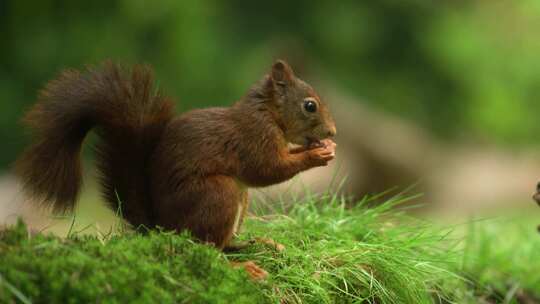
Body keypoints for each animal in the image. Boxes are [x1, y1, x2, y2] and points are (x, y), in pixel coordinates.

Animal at [14, 59, 336, 278]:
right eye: (310, 105)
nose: (332, 132)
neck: (268, 112)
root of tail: (161, 226)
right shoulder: (253, 137)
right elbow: (267, 170)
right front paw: (315, 156)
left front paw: (321, 148)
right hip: (218, 194)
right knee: (207, 250)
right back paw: (244, 267)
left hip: (237, 201)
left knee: (223, 245)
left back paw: (261, 243)